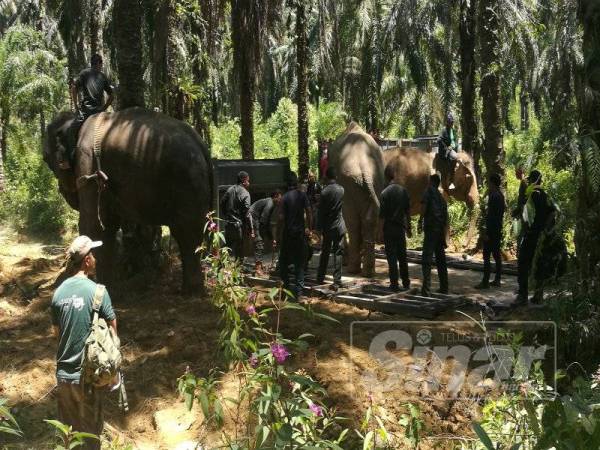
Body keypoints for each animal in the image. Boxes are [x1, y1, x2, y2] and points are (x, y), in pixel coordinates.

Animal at [44, 107, 213, 294]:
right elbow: (108, 227)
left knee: (186, 233)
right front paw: (108, 285)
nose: (60, 189)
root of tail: (201, 144)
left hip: (186, 182)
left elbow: (93, 226)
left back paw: (189, 291)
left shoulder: (87, 165)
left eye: (46, 159)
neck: (77, 123)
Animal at [328, 123, 384, 278]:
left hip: (349, 184)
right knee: (369, 220)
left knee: (352, 222)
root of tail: (365, 168)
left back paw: (353, 269)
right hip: (374, 180)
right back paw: (368, 272)